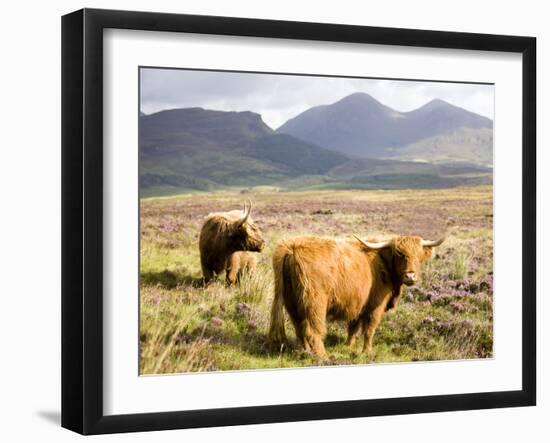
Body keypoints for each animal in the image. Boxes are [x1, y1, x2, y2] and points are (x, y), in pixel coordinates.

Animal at [270, 234, 446, 360]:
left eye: (419, 256)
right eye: (400, 254)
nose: (410, 276)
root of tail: (292, 247)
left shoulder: (357, 305)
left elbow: (353, 329)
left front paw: (348, 346)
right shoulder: (376, 306)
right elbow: (369, 330)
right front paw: (367, 351)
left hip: (292, 303)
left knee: (299, 329)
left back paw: (306, 352)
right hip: (315, 303)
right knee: (313, 331)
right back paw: (322, 357)